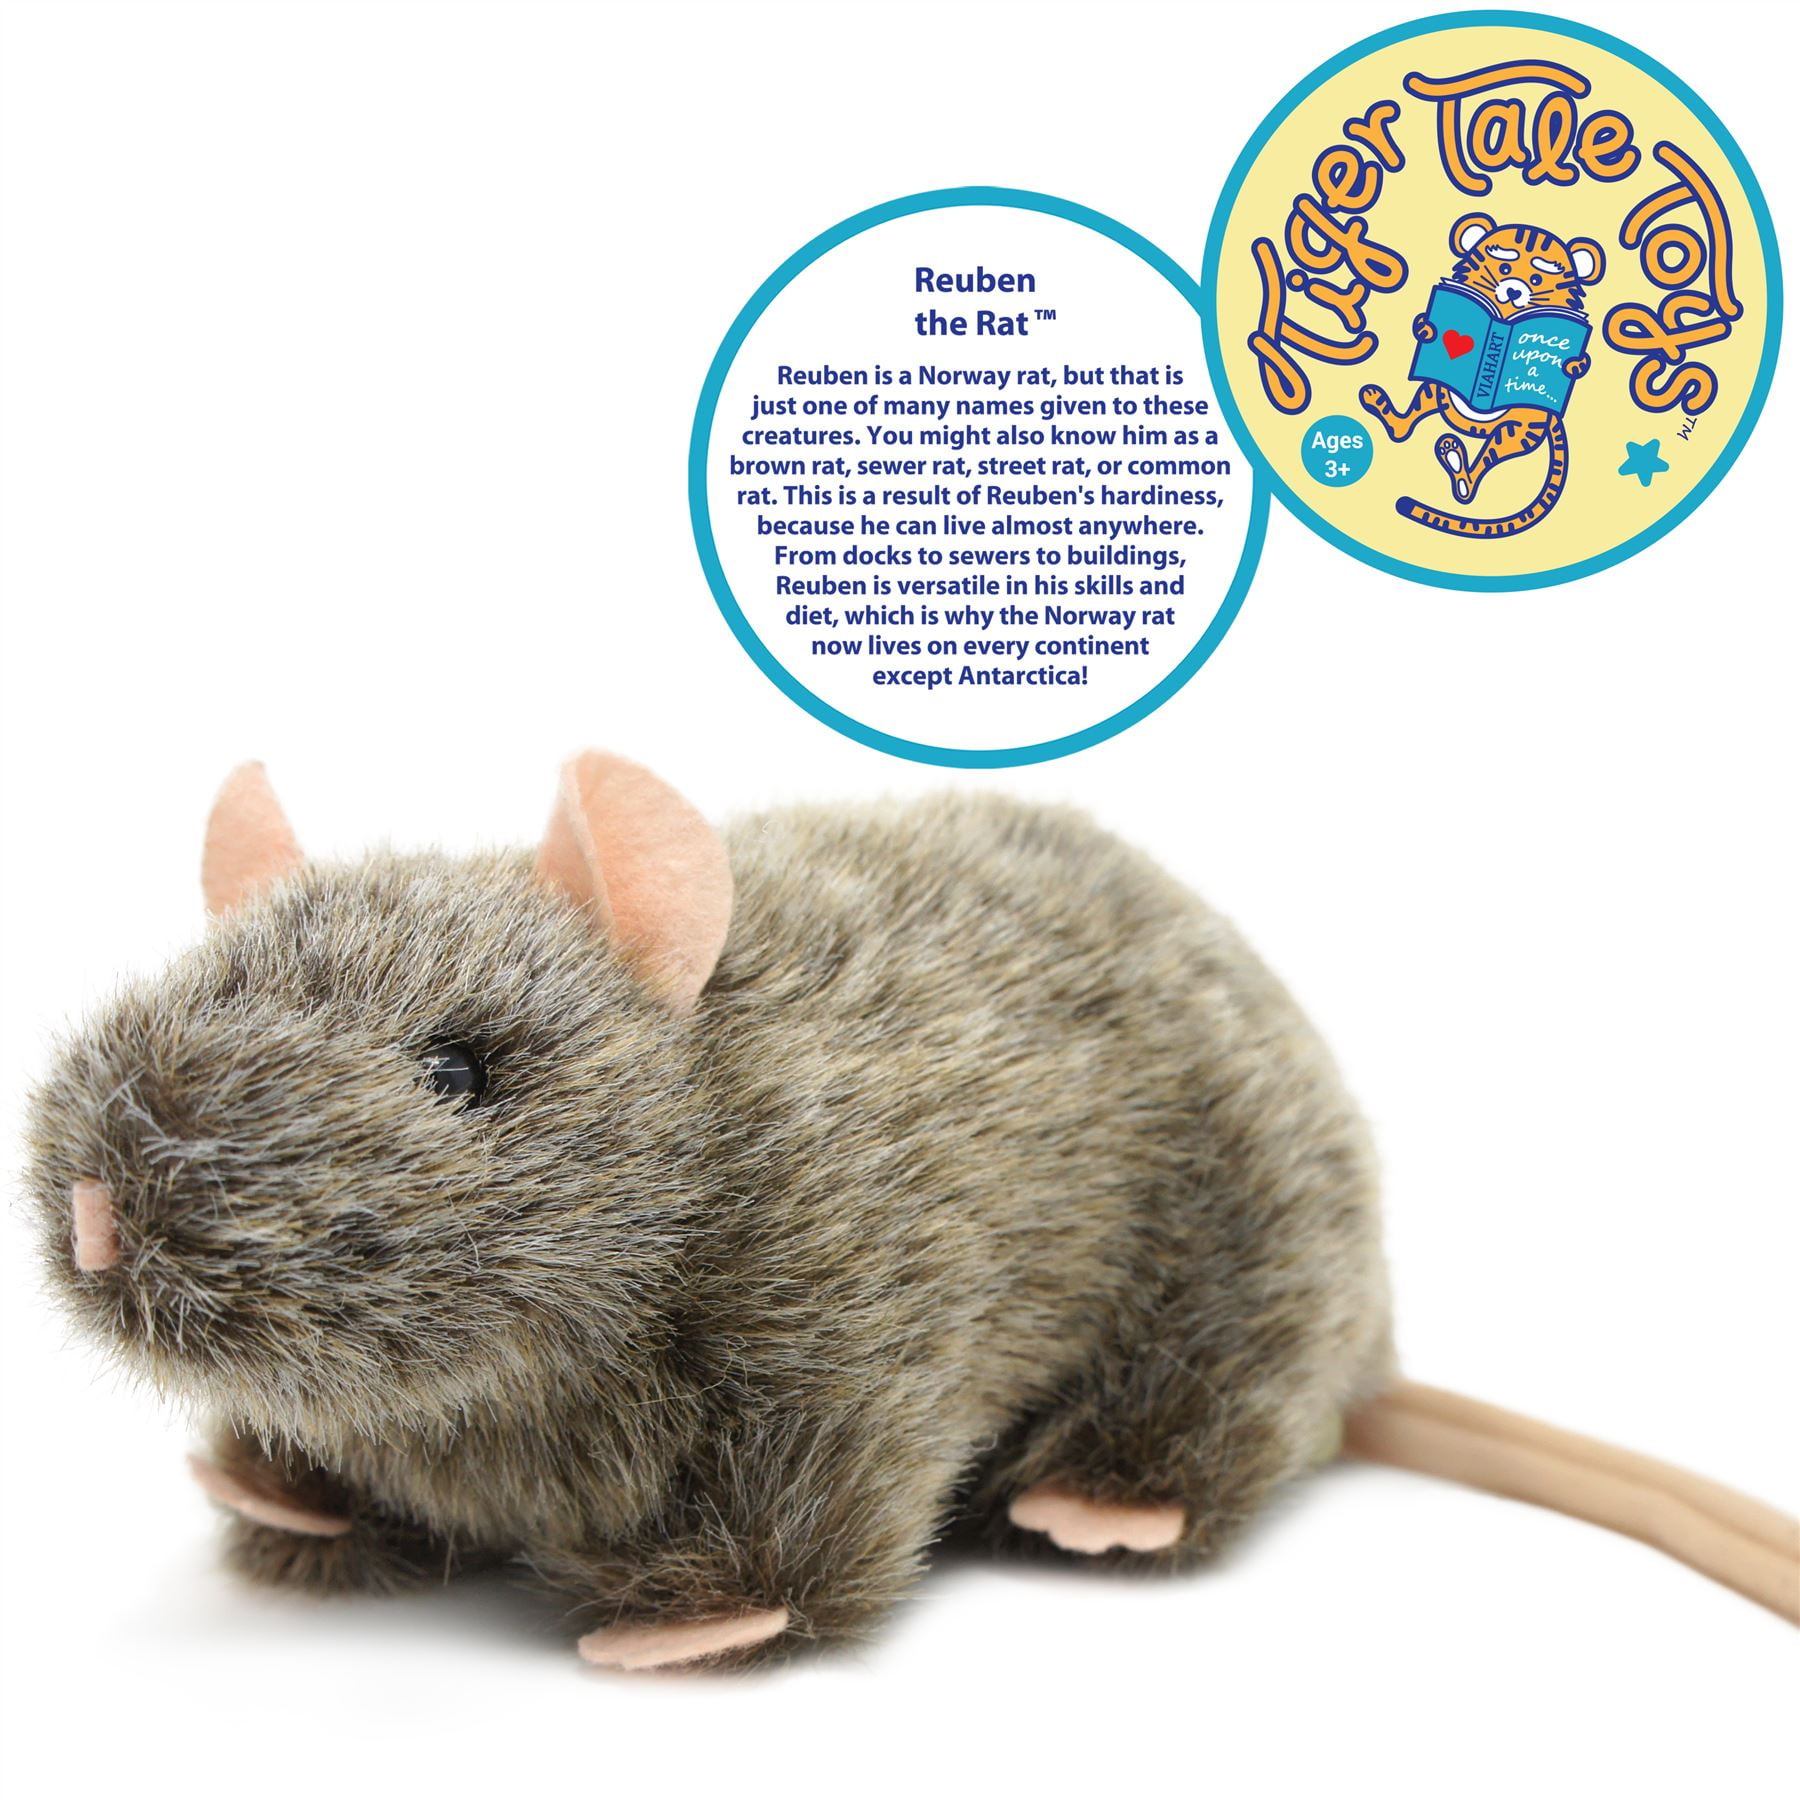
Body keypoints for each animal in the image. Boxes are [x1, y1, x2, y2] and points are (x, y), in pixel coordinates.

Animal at [1358, 214, 1604, 538]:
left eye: (1537, 280)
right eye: (1504, 269)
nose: (1513, 290)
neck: (1503, 314)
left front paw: (1573, 364)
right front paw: (1425, 327)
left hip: (1517, 429)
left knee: (1480, 467)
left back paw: (1457, 465)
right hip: (1436, 389)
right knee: (1407, 423)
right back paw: (1384, 409)